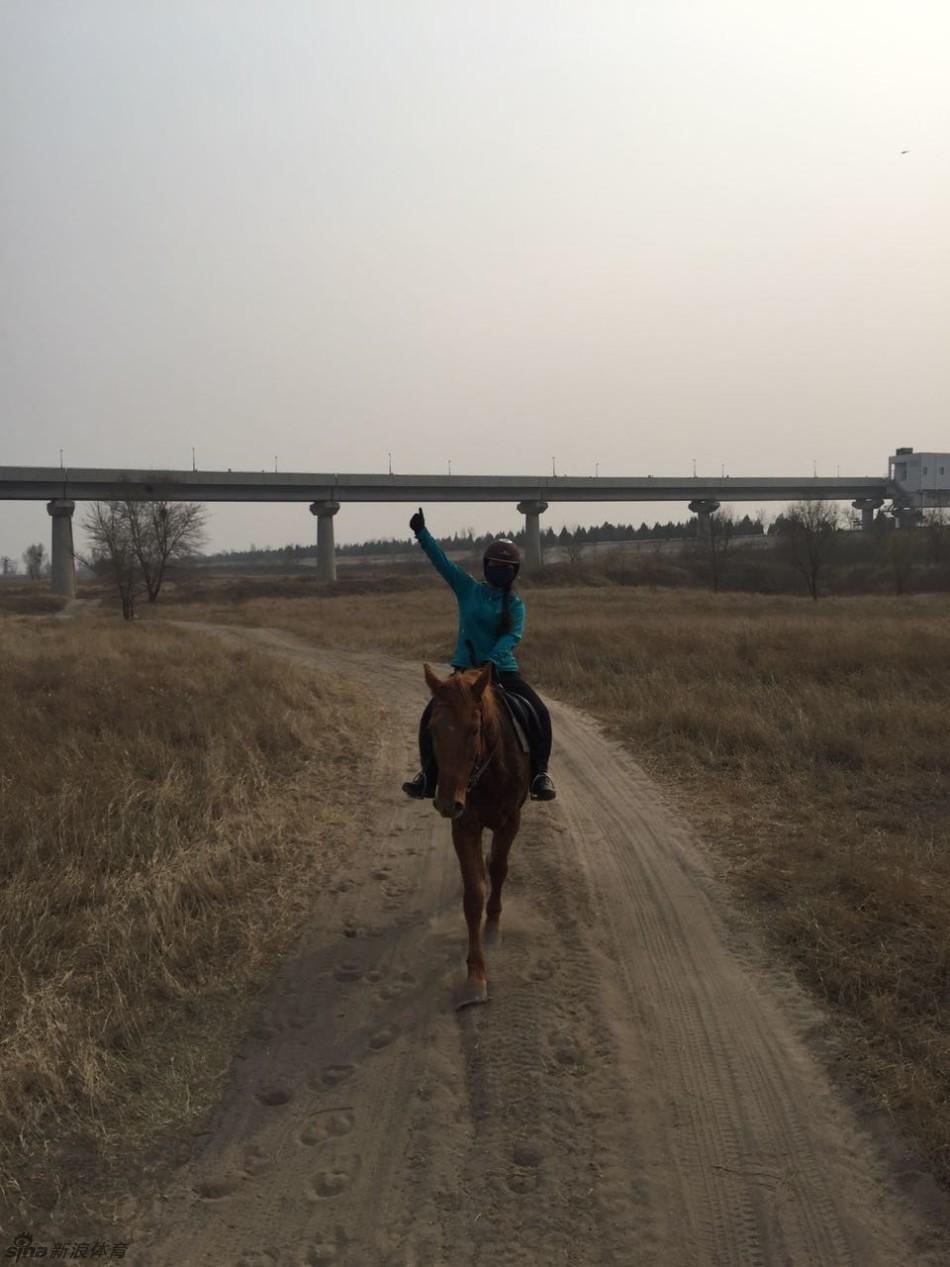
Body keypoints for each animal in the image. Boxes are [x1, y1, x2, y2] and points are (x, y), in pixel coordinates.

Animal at [425, 663, 532, 1008]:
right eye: (432, 729)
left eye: (474, 730)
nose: (448, 802)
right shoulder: (464, 826)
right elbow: (473, 895)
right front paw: (475, 977)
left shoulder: (510, 821)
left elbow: (498, 868)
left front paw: (494, 925)